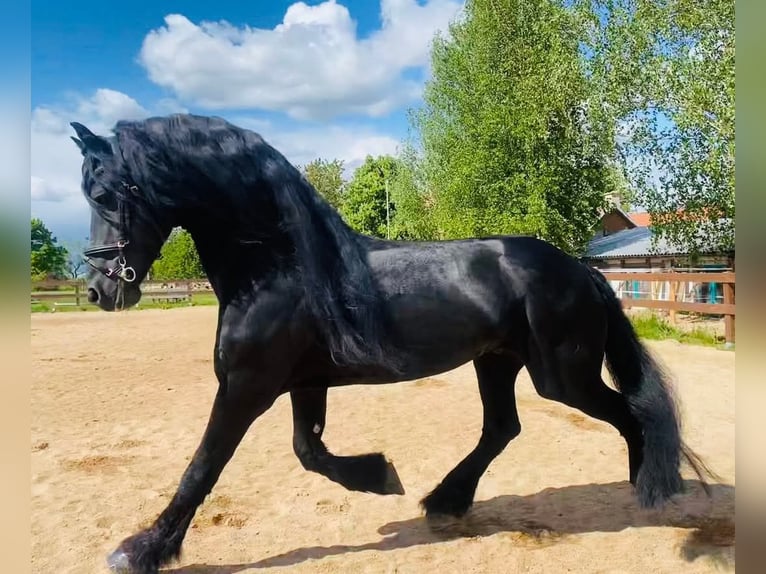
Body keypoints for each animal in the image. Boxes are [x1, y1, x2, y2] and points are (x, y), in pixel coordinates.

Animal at [71, 114, 710, 574]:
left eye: (105, 195)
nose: (101, 290)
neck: (280, 268)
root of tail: (582, 271)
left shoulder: (246, 388)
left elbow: (203, 466)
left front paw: (143, 549)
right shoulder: (304, 383)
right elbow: (309, 451)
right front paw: (380, 476)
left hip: (562, 376)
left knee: (632, 412)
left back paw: (652, 489)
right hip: (497, 363)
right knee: (504, 428)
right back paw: (447, 501)